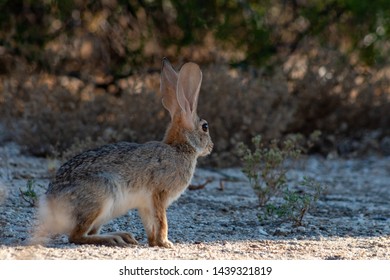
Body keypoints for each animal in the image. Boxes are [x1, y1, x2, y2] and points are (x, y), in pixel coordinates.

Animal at [33, 58, 213, 247]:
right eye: (205, 127)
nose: (211, 147)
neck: (180, 147)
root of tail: (52, 208)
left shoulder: (145, 204)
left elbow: (150, 224)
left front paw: (153, 242)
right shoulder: (159, 194)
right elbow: (162, 221)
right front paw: (165, 243)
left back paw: (124, 236)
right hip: (101, 196)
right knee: (76, 236)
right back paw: (114, 238)